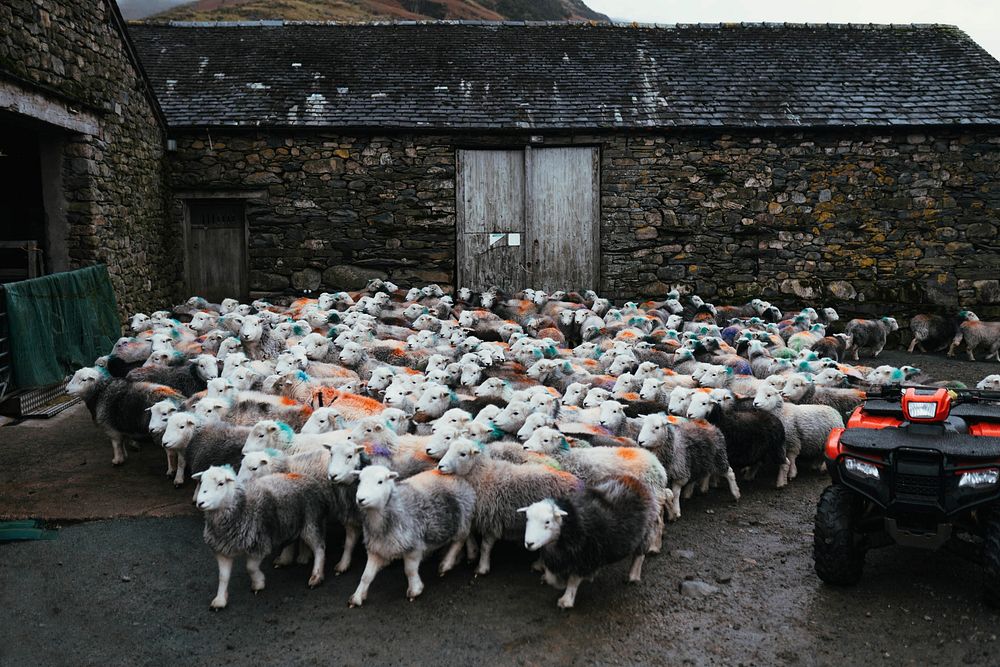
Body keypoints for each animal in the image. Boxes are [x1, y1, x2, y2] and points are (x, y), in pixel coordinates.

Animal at [196, 464, 332, 612]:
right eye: (201, 482)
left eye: (221, 483)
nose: (199, 502)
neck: (242, 506)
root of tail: (304, 476)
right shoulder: (223, 550)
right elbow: (223, 577)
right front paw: (220, 600)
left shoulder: (259, 544)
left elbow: (250, 567)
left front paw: (258, 583)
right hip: (290, 521)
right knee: (291, 540)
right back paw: (285, 559)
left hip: (311, 521)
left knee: (319, 548)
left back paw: (316, 576)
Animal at [348, 468, 476, 608]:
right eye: (359, 480)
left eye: (380, 481)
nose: (360, 499)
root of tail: (457, 476)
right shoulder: (376, 549)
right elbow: (366, 576)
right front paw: (357, 597)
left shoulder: (413, 546)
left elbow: (409, 570)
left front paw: (415, 590)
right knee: (466, 536)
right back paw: (468, 554)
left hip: (463, 518)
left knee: (459, 540)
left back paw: (446, 564)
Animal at [440, 438, 584, 576]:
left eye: (463, 454)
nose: (440, 466)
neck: (483, 477)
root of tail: (577, 482)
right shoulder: (476, 514)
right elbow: (467, 535)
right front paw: (469, 554)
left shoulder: (492, 519)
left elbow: (485, 546)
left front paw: (482, 567)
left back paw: (540, 564)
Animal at [524, 474, 664, 612]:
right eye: (527, 519)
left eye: (547, 522)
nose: (529, 543)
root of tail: (635, 481)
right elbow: (550, 577)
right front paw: (557, 582)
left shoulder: (585, 558)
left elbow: (573, 581)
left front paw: (566, 599)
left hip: (645, 532)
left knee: (639, 556)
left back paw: (633, 576)